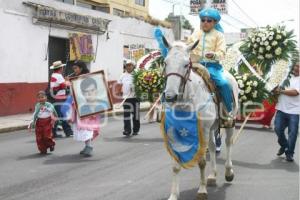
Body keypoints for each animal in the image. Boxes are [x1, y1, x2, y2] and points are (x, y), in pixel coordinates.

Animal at [162, 36, 239, 199]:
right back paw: (212, 176)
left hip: (229, 122)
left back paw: (228, 172)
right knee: (212, 145)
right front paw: (173, 195)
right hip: (211, 128)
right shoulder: (174, 132)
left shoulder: (202, 130)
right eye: (165, 62)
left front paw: (202, 190)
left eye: (186, 64)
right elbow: (175, 165)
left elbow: (202, 161)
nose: (170, 96)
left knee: (228, 143)